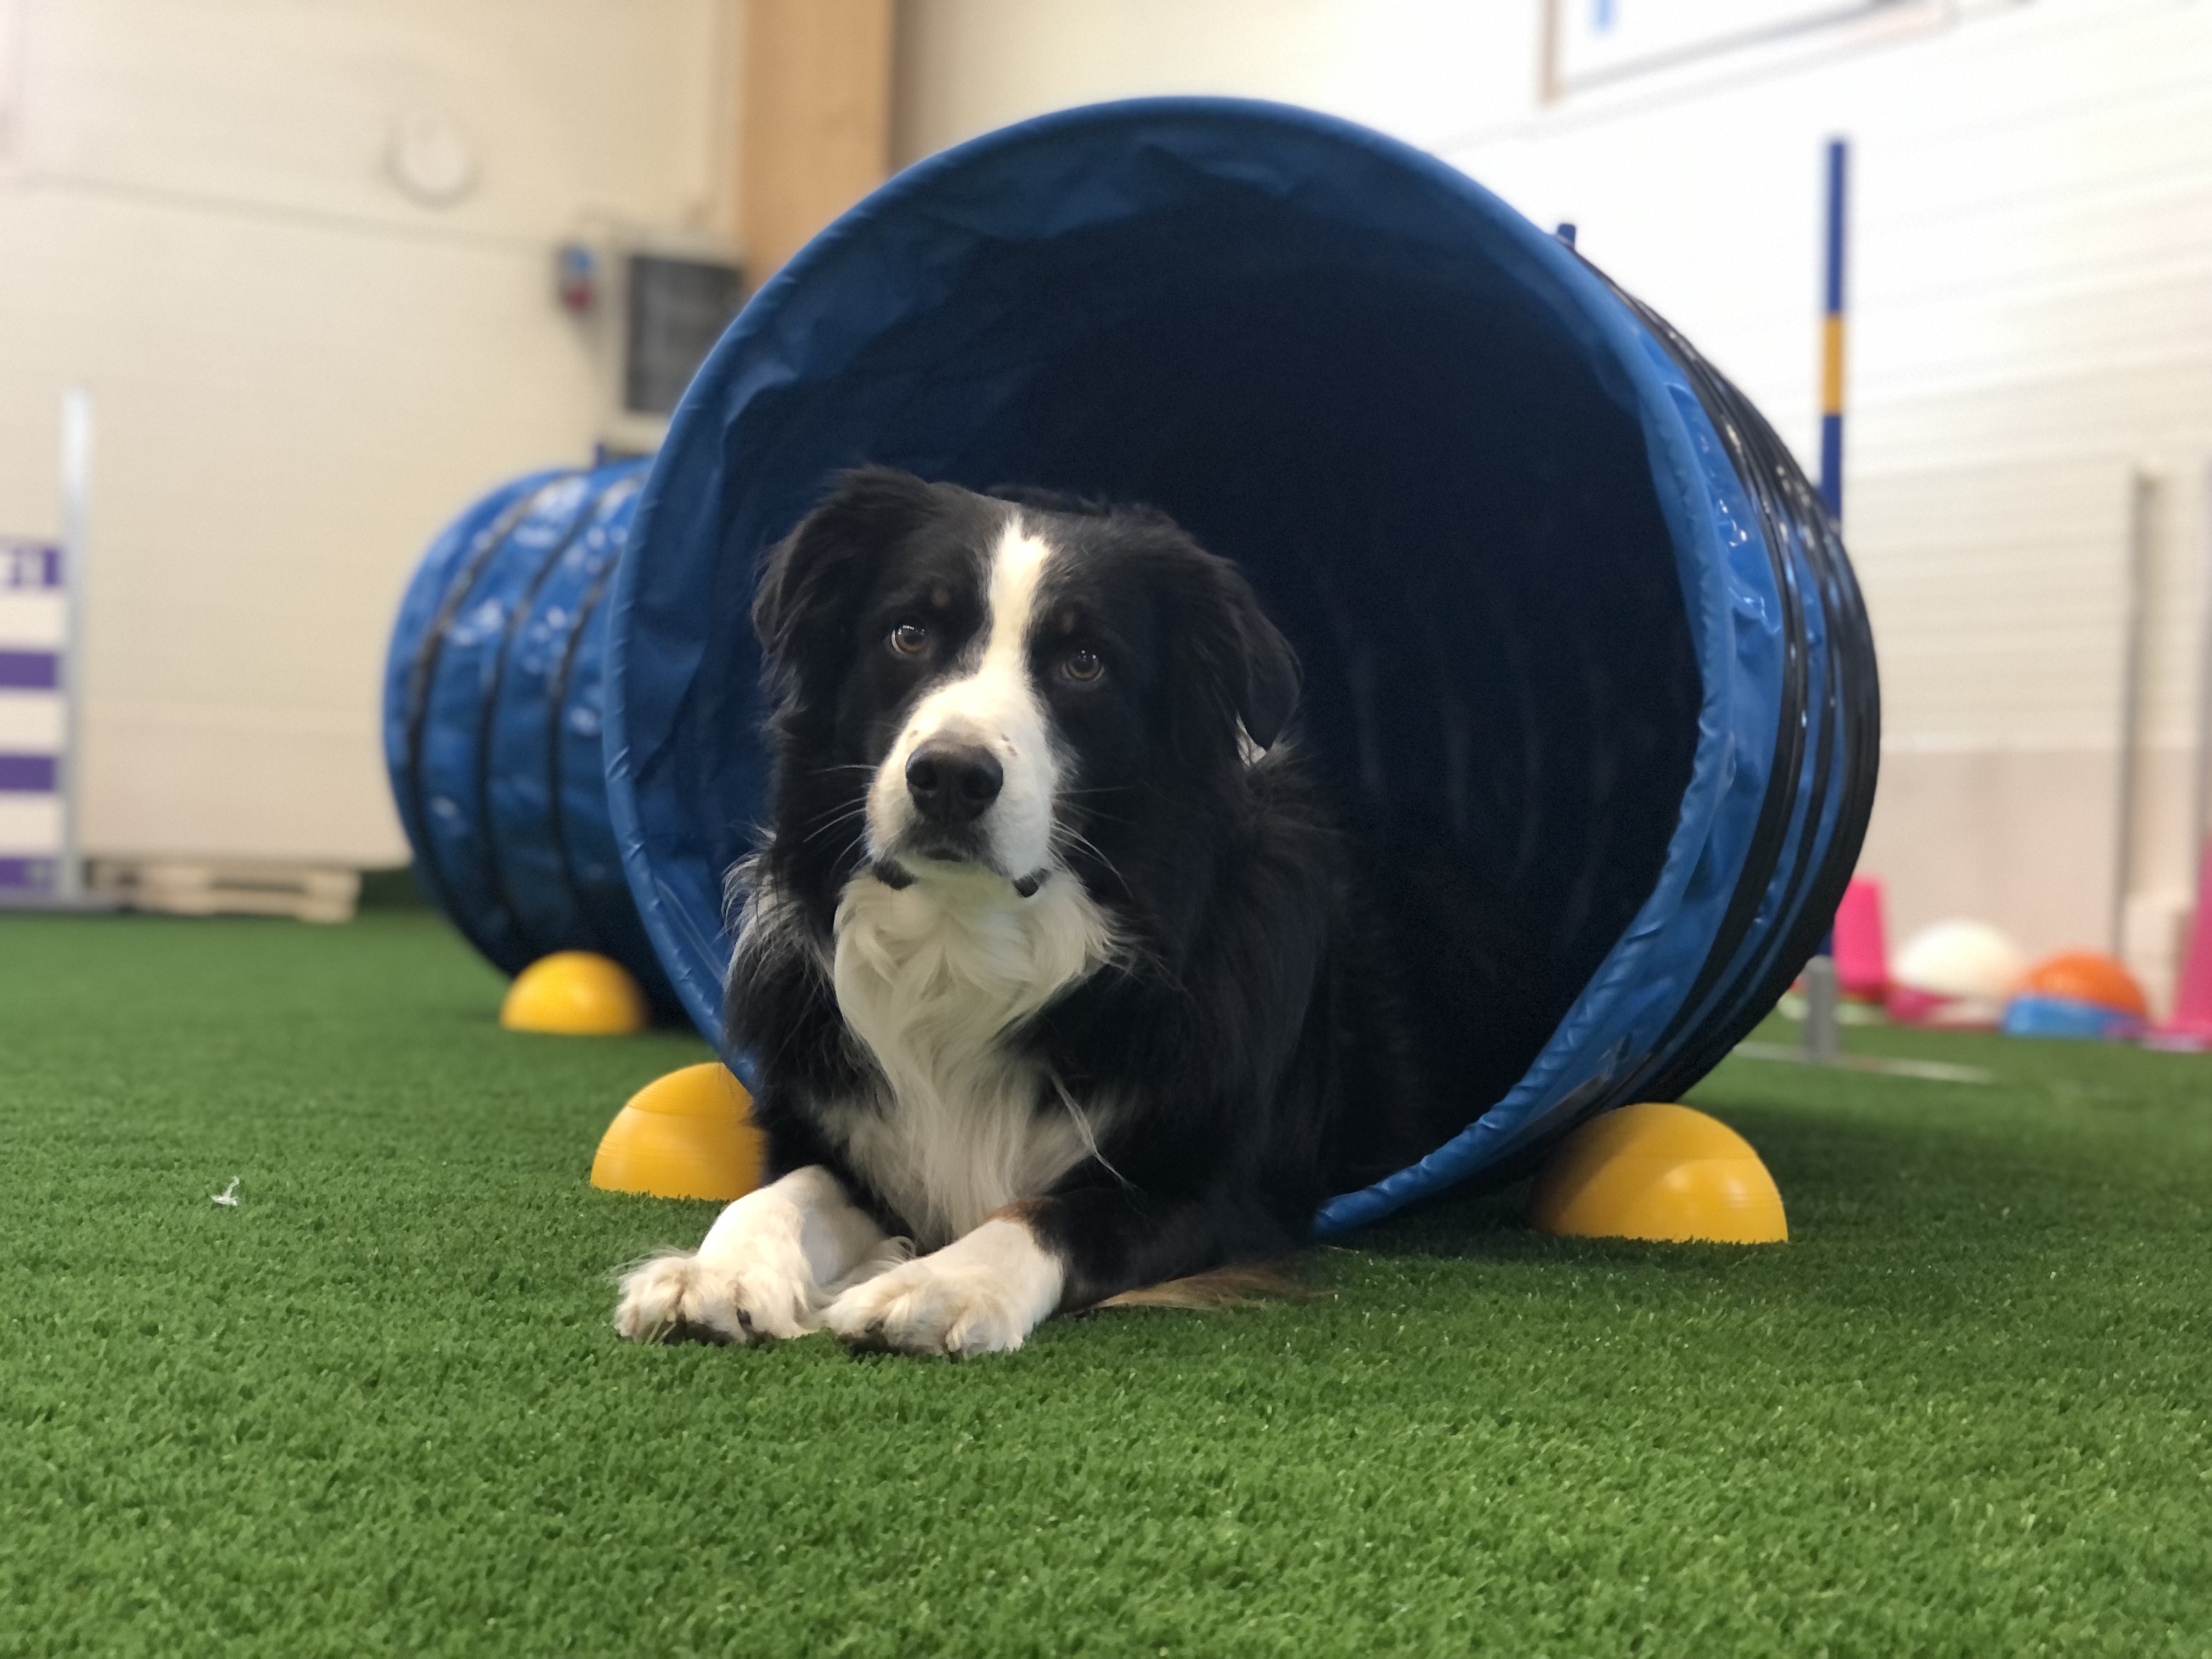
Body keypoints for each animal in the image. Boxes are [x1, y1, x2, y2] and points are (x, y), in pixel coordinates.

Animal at [612, 467, 1466, 1355]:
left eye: (1085, 662)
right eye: (909, 633)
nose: (950, 776)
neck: (967, 932)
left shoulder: (1216, 1187)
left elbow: (1050, 1214)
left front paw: (936, 1286)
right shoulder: (838, 1134)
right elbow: (781, 1191)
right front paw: (715, 1276)